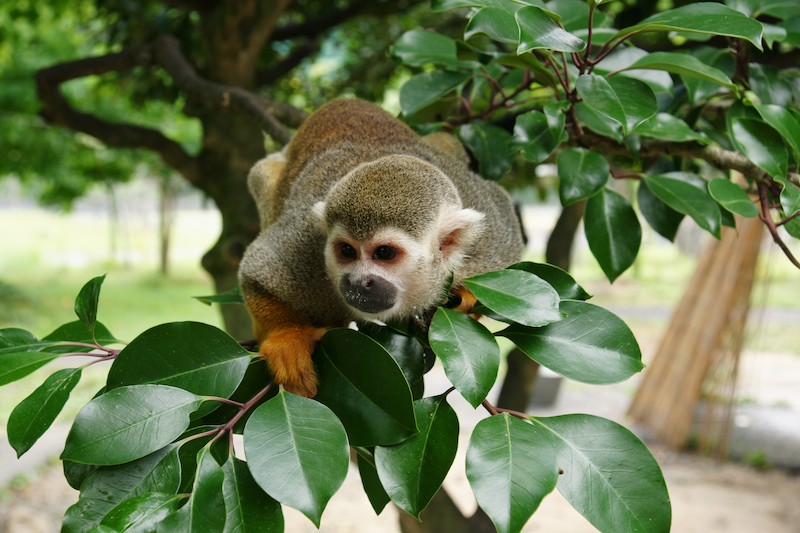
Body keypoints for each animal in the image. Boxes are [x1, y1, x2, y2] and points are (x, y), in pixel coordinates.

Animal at [238, 99, 523, 397]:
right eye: (347, 251)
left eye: (384, 253)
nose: (357, 281)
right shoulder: (307, 252)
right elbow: (256, 272)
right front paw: (287, 339)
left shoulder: (487, 246)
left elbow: (502, 211)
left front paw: (467, 296)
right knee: (263, 175)